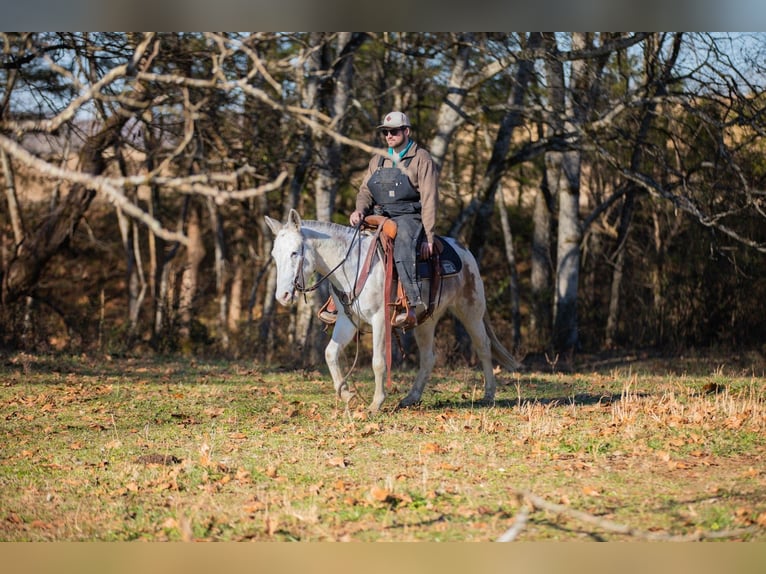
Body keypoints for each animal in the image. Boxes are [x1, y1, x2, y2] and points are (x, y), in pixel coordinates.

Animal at [265, 209, 521, 413]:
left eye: (295, 252)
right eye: (275, 255)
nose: (282, 296)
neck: (354, 266)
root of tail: (464, 251)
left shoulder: (380, 319)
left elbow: (379, 362)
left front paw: (376, 403)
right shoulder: (347, 320)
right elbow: (330, 353)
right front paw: (347, 394)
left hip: (471, 311)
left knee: (483, 347)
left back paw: (489, 394)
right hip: (426, 321)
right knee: (428, 357)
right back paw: (411, 398)